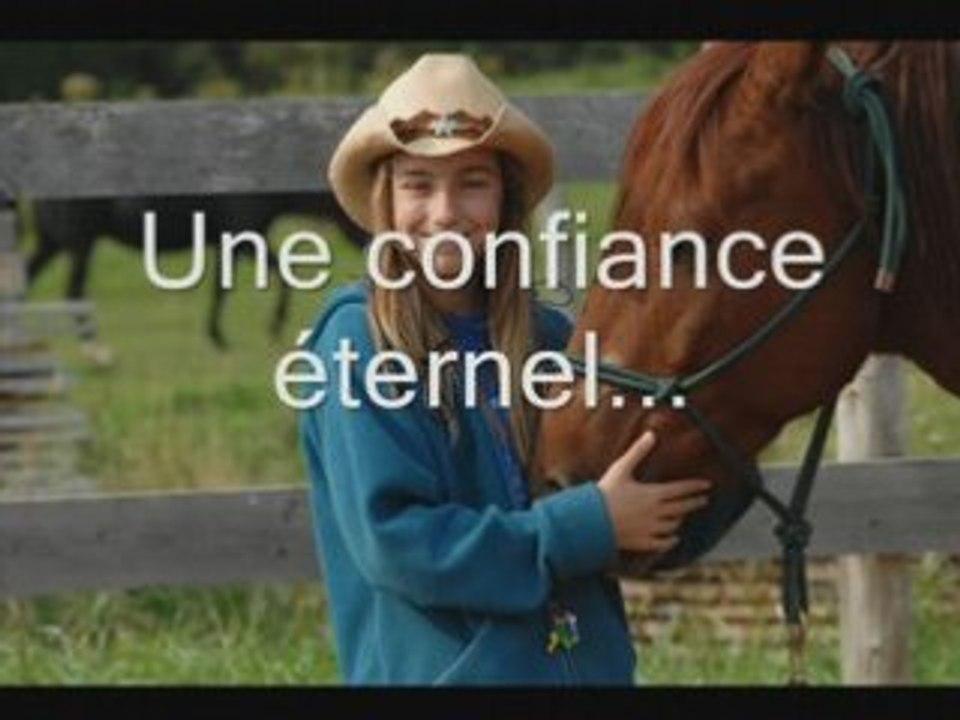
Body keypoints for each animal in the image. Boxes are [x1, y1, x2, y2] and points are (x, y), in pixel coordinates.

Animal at [26, 191, 367, 359]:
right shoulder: (244, 238)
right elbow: (280, 277)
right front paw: (271, 327)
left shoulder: (233, 242)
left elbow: (221, 288)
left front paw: (218, 337)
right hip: (81, 246)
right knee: (74, 292)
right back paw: (96, 351)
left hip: (52, 244)